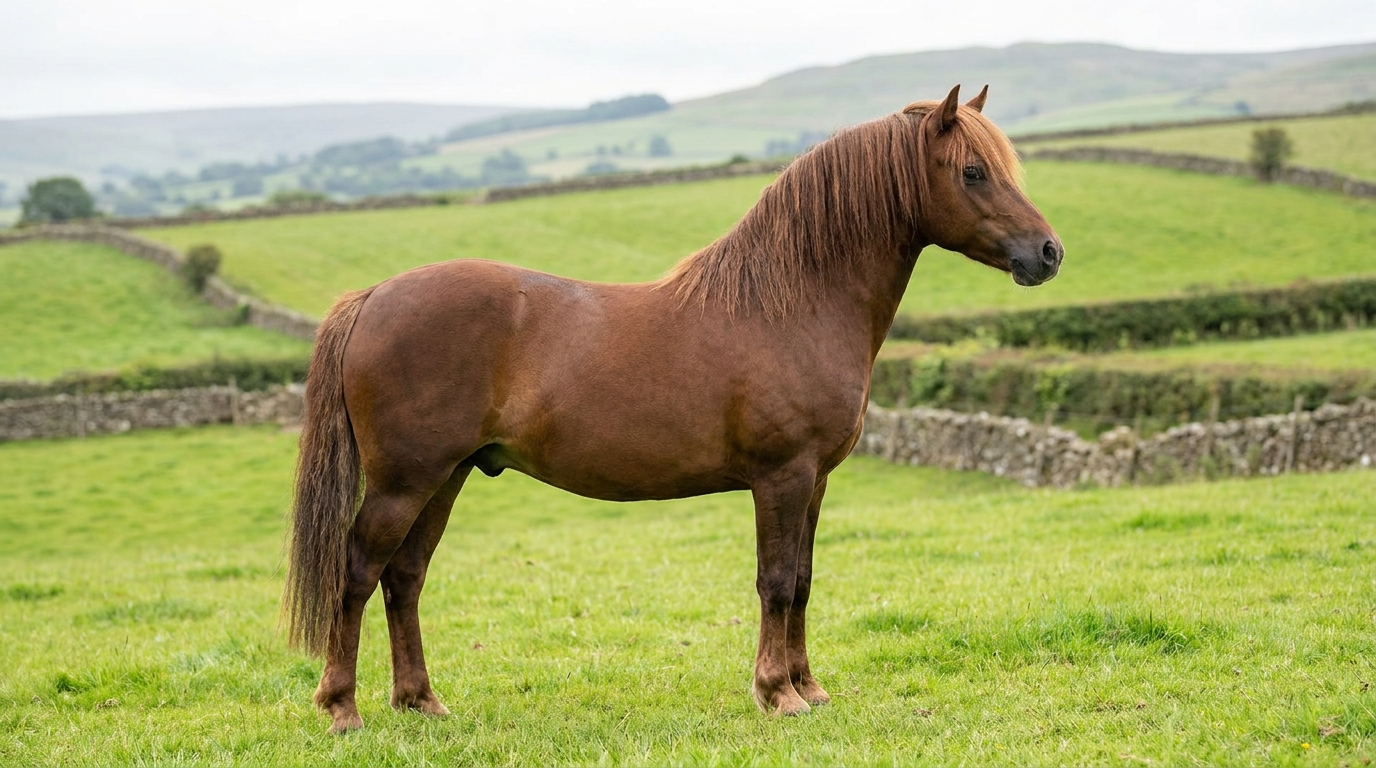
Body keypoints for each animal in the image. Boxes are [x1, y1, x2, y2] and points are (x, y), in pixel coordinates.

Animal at [285, 84, 1063, 733]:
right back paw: (342, 708)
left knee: (404, 578)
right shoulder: (781, 477)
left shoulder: (815, 481)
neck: (792, 303)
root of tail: (373, 298)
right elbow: (775, 582)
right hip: (404, 482)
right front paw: (777, 694)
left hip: (445, 477)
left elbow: (803, 581)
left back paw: (421, 702)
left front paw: (809, 688)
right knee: (357, 573)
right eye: (973, 172)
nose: (1048, 253)